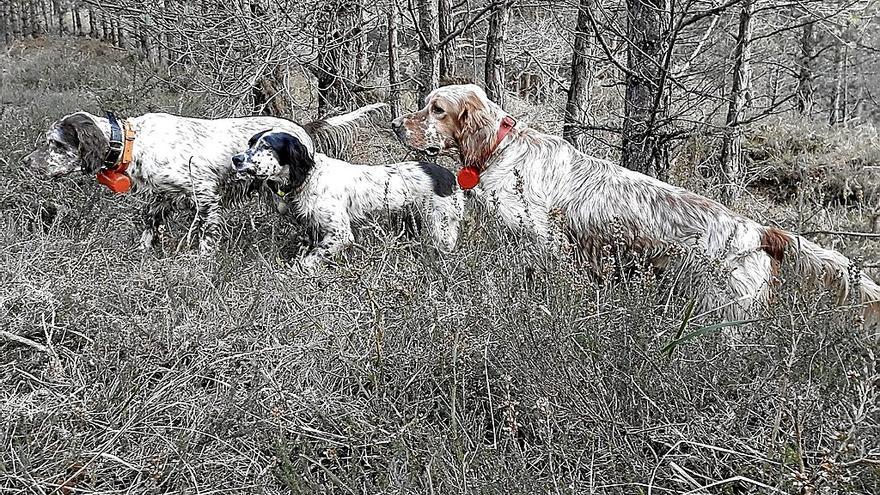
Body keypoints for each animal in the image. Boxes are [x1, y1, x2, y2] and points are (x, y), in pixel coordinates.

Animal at [24, 103, 384, 252]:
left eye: (56, 144)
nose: (26, 162)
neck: (134, 142)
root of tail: (303, 130)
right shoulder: (161, 197)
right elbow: (149, 224)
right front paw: (143, 253)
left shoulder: (205, 193)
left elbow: (206, 235)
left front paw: (203, 260)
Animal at [234, 128, 464, 268]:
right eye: (250, 143)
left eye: (266, 146)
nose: (236, 159)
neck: (309, 176)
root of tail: (450, 176)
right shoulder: (311, 229)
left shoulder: (340, 234)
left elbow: (307, 261)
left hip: (441, 229)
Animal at [394, 84, 880, 324]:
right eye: (424, 105)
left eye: (436, 109)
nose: (397, 125)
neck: (502, 148)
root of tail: (757, 230)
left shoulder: (543, 241)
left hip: (724, 309)